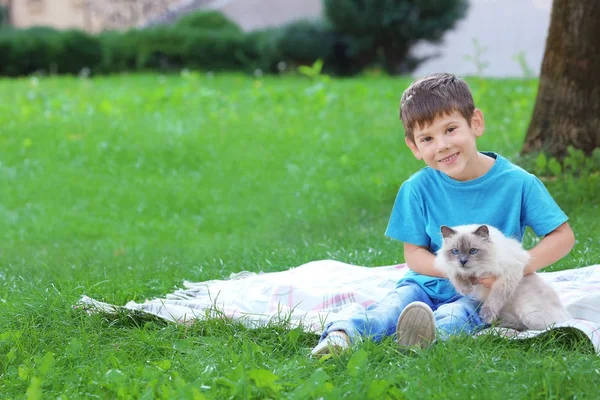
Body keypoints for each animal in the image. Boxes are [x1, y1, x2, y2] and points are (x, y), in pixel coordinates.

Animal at [434, 223, 568, 330]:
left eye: (473, 251)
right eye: (455, 251)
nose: (462, 261)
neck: (478, 269)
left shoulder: (509, 273)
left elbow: (496, 297)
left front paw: (486, 315)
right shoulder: (449, 266)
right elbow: (455, 274)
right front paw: (466, 289)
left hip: (530, 316)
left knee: (537, 328)